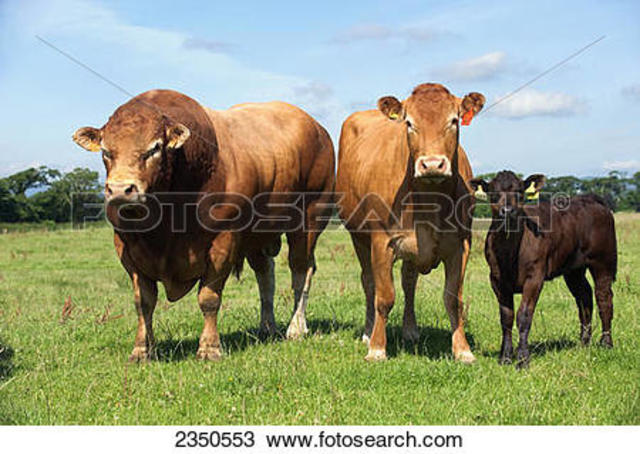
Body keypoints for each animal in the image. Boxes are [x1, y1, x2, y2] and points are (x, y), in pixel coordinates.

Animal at [72, 89, 335, 362]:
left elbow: (209, 298)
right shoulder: (128, 250)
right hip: (257, 237)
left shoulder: (223, 243)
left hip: (309, 222)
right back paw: (267, 326)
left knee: (300, 272)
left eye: (154, 148)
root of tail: (317, 128)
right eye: (105, 151)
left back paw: (296, 328)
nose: (119, 190)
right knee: (266, 275)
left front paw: (209, 348)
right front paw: (142, 349)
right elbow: (143, 302)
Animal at [336, 83, 485, 362]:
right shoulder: (381, 242)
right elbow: (384, 297)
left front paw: (462, 350)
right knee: (369, 282)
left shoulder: (461, 244)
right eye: (409, 123)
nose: (432, 164)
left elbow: (454, 299)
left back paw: (410, 330)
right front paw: (377, 348)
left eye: (454, 120)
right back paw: (368, 332)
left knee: (409, 281)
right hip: (358, 236)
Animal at [469, 171, 617, 368]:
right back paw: (584, 343)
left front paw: (523, 359)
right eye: (493, 193)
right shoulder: (496, 279)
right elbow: (506, 317)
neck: (509, 252)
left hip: (603, 261)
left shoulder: (535, 277)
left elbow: (524, 316)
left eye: (520, 192)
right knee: (584, 296)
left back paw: (606, 343)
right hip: (573, 269)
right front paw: (505, 357)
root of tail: (589, 198)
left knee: (604, 297)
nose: (507, 211)